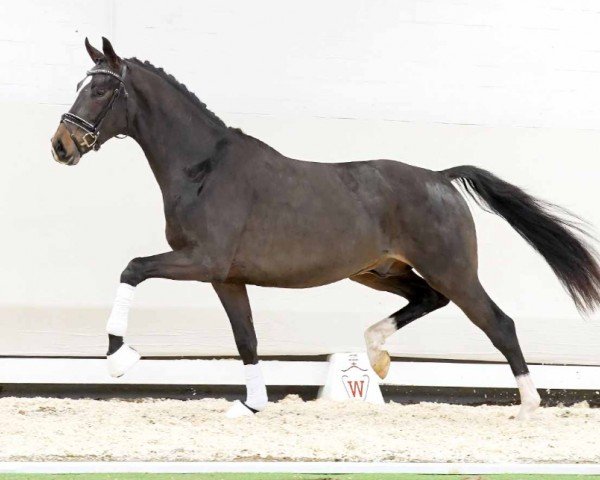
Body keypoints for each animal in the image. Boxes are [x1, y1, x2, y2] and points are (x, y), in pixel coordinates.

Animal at [51, 38, 600, 420]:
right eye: (81, 84)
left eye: (99, 88)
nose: (61, 145)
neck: (203, 169)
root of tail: (440, 178)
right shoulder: (226, 277)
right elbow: (246, 338)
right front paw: (251, 405)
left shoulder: (202, 260)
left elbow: (132, 269)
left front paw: (119, 359)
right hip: (379, 271)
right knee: (427, 299)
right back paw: (377, 356)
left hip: (453, 271)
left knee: (498, 323)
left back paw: (527, 407)